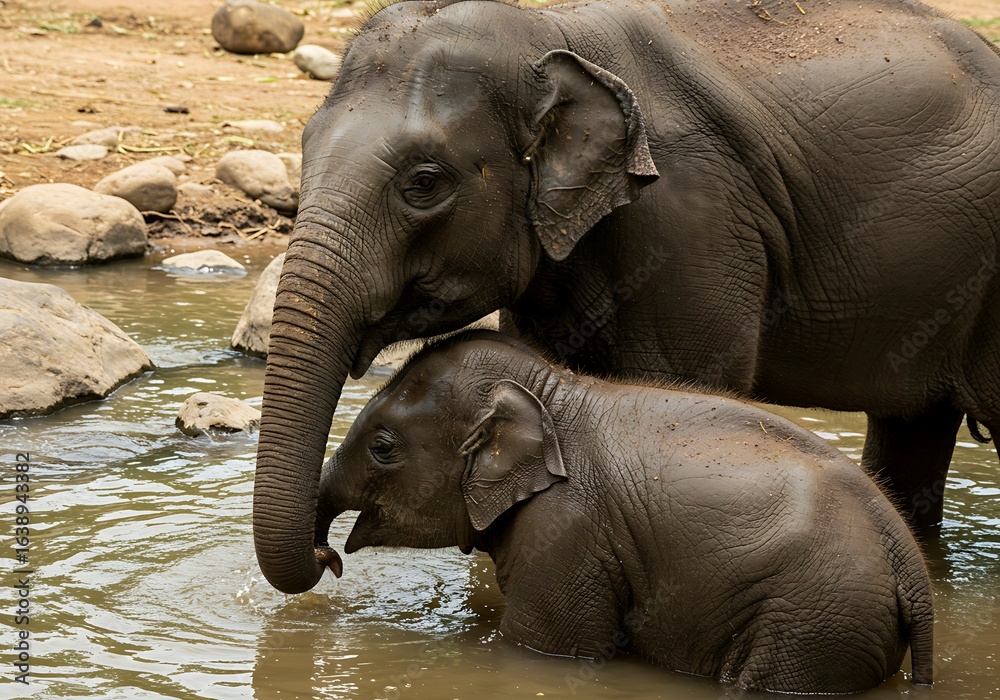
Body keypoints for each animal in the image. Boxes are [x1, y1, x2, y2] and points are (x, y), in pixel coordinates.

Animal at [253, 0, 1000, 595]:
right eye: (304, 146)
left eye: (425, 182)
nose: (327, 558)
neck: (552, 33)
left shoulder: (695, 222)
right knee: (914, 427)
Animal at [311, 331, 934, 694]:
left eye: (382, 447)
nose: (329, 559)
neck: (553, 391)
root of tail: (907, 557)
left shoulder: (567, 533)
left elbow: (541, 647)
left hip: (814, 619)